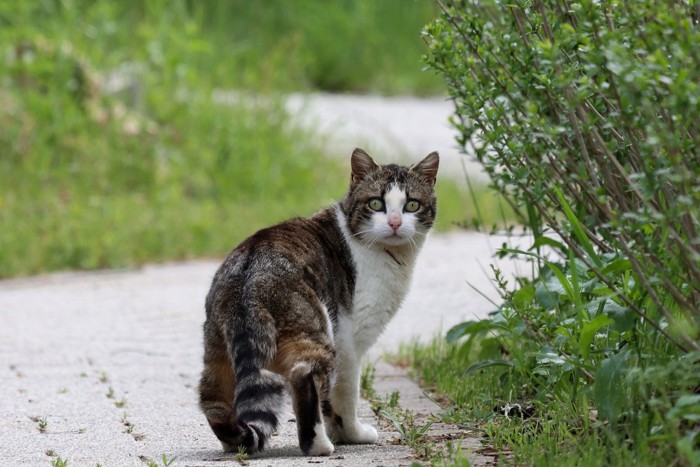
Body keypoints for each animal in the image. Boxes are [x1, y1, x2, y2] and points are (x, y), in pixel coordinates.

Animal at [197, 149, 438, 458]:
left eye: (411, 205)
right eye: (376, 203)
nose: (395, 223)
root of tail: (250, 271)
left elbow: (331, 403)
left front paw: (340, 432)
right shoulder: (350, 340)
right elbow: (346, 395)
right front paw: (353, 434)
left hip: (217, 349)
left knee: (212, 397)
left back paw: (234, 442)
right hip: (317, 329)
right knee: (304, 375)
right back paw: (319, 445)